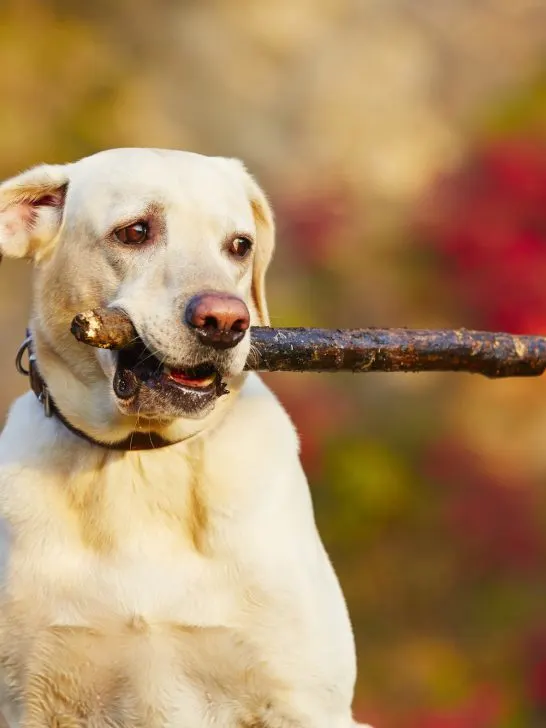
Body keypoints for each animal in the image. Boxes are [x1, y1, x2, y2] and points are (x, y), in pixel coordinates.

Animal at [0, 149, 370, 728]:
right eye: (134, 232)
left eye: (240, 245)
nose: (225, 321)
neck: (142, 457)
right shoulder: (27, 697)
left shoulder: (307, 701)